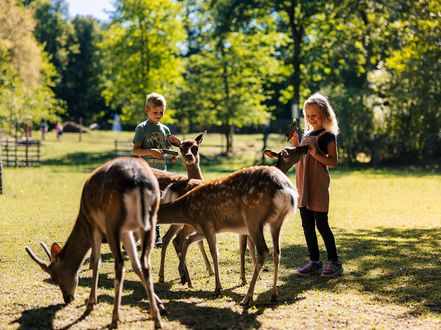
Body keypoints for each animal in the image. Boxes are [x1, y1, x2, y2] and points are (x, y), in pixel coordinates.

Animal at [24, 157, 165, 328]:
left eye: (55, 277)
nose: (67, 298)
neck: (82, 220)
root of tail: (135, 179)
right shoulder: (127, 232)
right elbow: (136, 265)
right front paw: (160, 305)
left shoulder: (93, 225)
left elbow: (96, 262)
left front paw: (91, 302)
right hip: (151, 218)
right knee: (145, 263)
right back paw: (157, 319)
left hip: (112, 222)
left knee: (119, 265)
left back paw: (115, 318)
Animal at [156, 165, 298, 306]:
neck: (187, 210)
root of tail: (287, 191)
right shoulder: (203, 229)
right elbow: (188, 241)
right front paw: (183, 276)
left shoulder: (206, 223)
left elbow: (214, 252)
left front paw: (218, 288)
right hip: (277, 221)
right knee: (277, 252)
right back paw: (273, 295)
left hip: (253, 217)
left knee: (263, 250)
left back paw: (247, 298)